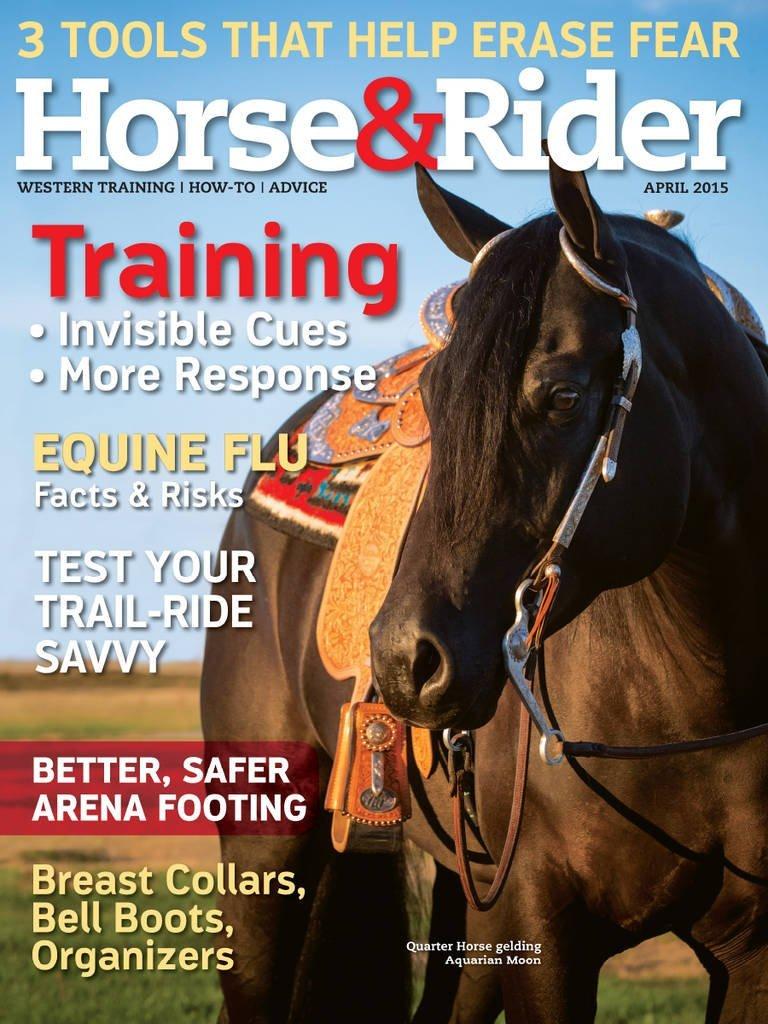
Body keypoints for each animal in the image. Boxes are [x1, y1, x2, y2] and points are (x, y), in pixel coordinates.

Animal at [201, 162, 768, 1024]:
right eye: (433, 400)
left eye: (563, 397)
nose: (404, 661)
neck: (694, 700)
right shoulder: (541, 927)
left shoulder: (751, 950)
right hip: (265, 851)